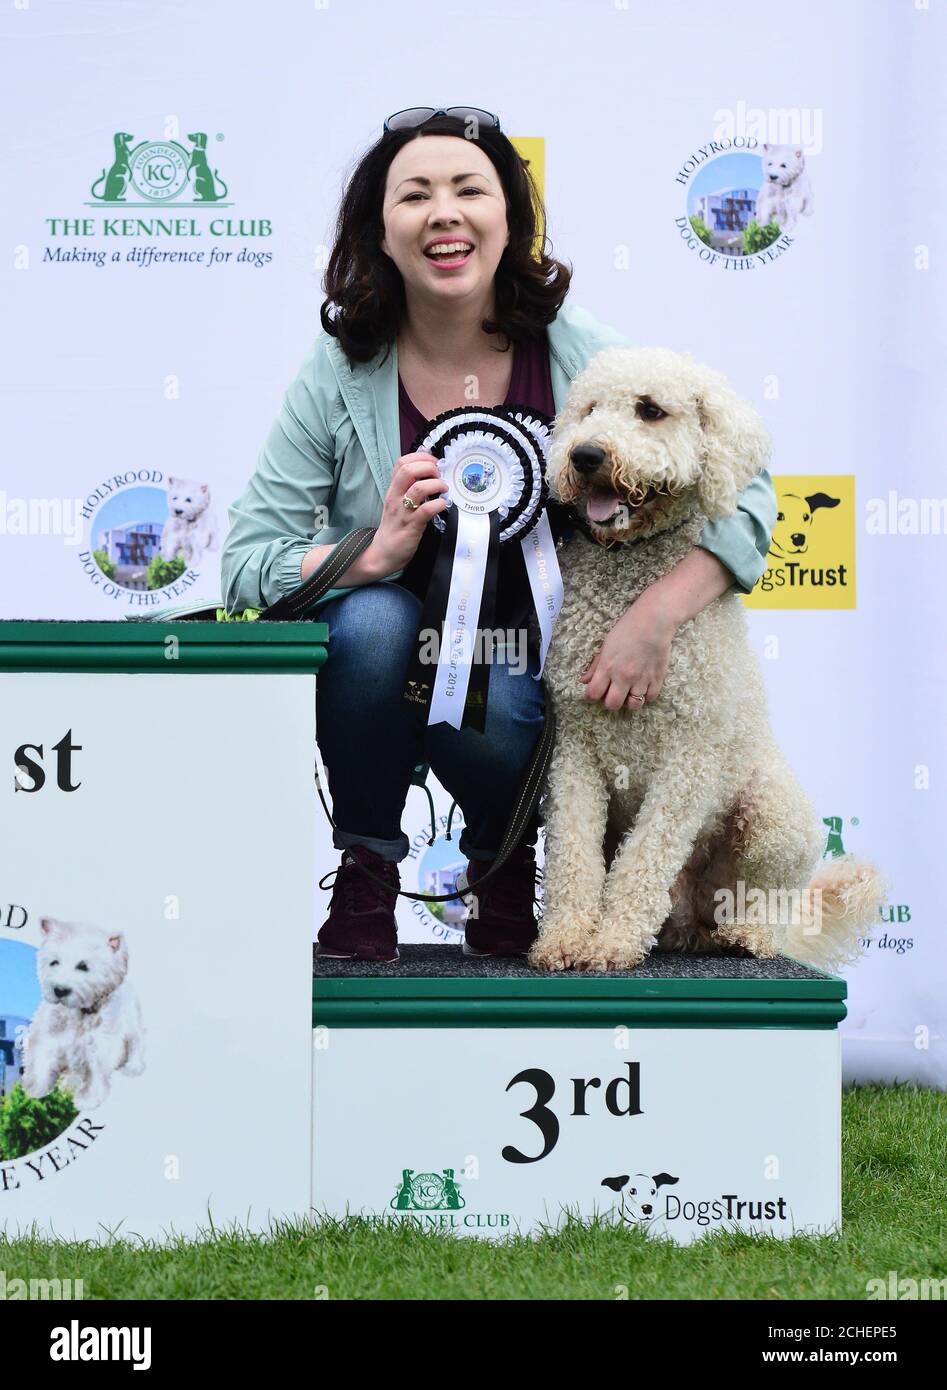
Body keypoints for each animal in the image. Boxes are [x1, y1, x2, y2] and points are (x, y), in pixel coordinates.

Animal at [531, 344, 884, 978]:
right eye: (589, 409)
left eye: (650, 409)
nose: (586, 454)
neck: (632, 571)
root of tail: (696, 916)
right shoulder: (573, 747)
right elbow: (574, 851)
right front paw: (566, 938)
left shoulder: (689, 758)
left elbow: (644, 859)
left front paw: (611, 941)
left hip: (775, 815)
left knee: (768, 897)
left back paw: (748, 934)